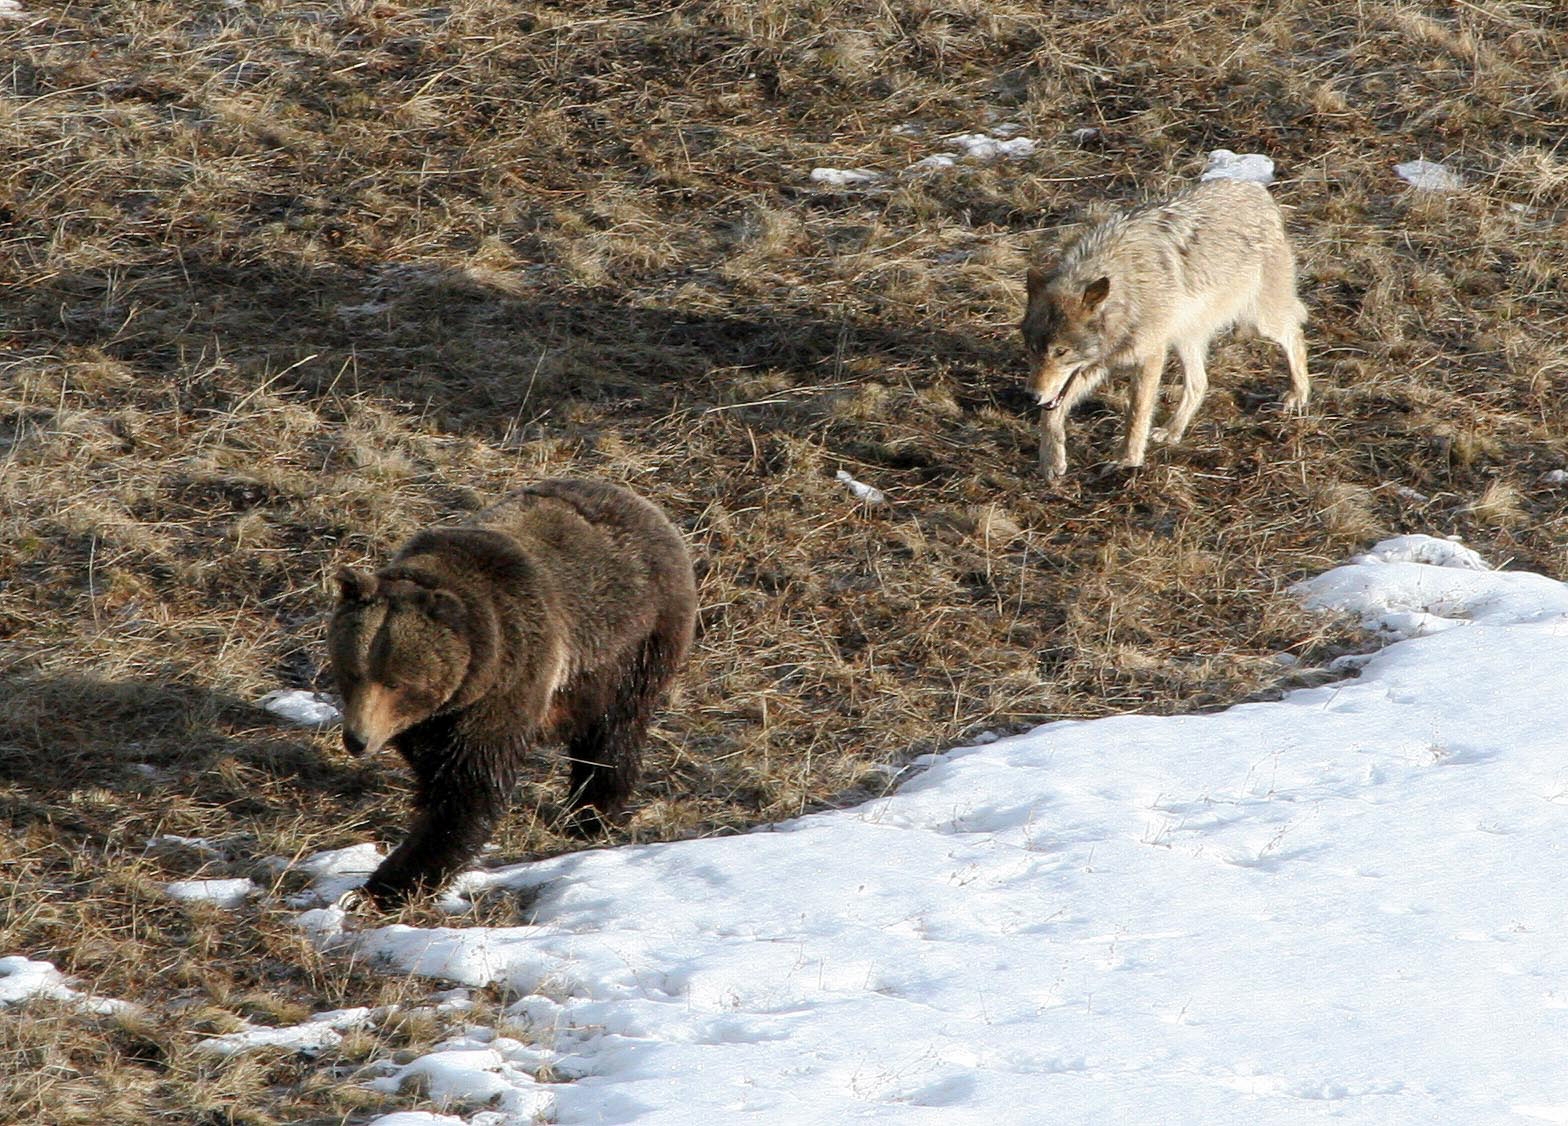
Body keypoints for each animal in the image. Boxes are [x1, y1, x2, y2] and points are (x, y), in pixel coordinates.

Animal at [327, 476, 696, 909]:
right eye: (352, 672)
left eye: (396, 682)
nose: (357, 739)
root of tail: (644, 505)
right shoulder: (434, 719)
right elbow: (435, 768)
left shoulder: (509, 680)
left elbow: (469, 789)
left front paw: (388, 884)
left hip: (633, 644)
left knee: (613, 731)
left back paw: (590, 814)